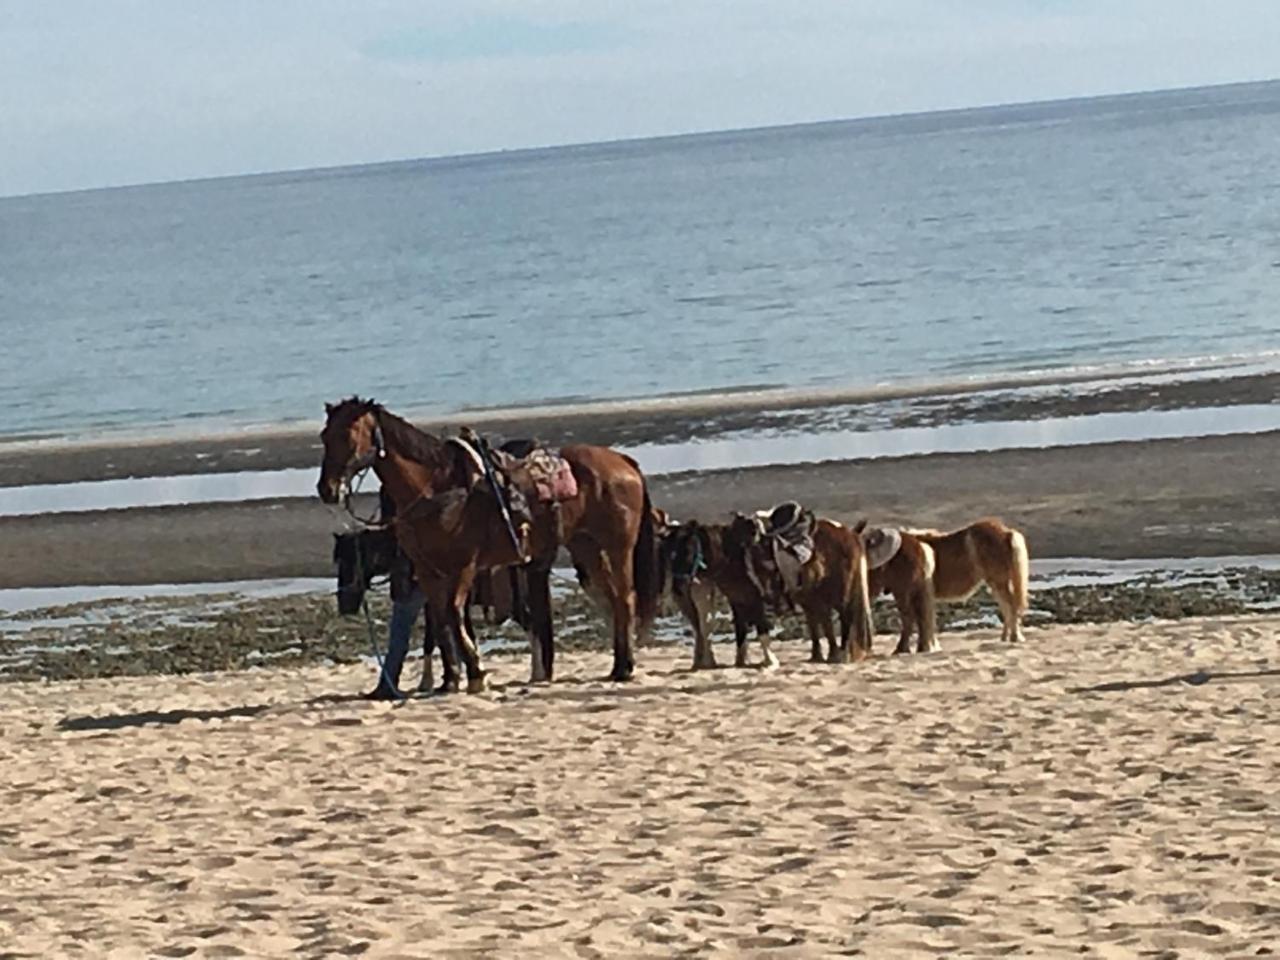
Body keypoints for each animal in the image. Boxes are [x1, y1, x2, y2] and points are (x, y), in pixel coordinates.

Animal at [317, 399, 660, 691]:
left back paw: (625, 668)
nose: (327, 489)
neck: (437, 490)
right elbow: (441, 622)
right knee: (614, 600)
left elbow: (453, 615)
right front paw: (451, 680)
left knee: (624, 599)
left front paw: (475, 674)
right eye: (324, 435)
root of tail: (623, 462)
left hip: (617, 547)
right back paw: (618, 666)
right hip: (587, 548)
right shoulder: (429, 573)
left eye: (348, 434)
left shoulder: (463, 566)